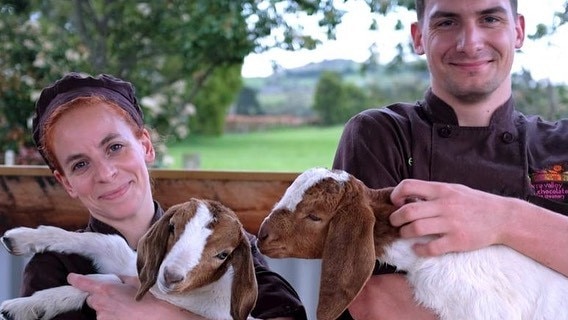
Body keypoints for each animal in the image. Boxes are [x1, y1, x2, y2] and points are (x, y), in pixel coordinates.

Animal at [0, 198, 258, 320]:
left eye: (223, 254)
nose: (171, 276)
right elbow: (105, 242)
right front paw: (21, 237)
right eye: (173, 227)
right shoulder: (139, 268)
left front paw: (23, 307)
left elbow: (109, 281)